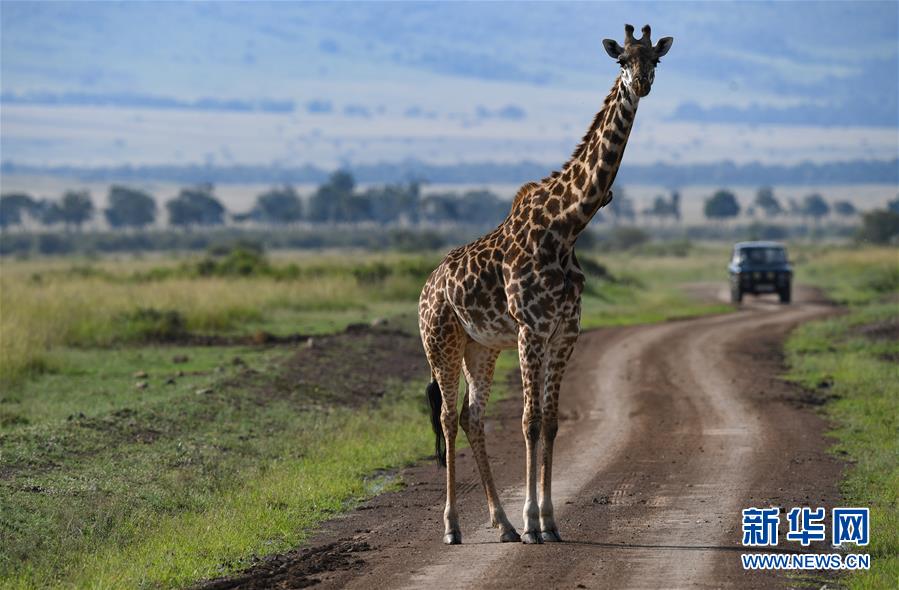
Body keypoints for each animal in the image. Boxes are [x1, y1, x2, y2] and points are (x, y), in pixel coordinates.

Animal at [418, 25, 672, 548]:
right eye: (622, 60)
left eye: (654, 59)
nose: (641, 84)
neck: (567, 227)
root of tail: (425, 289)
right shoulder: (531, 331)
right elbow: (530, 421)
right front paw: (535, 522)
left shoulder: (564, 333)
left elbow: (552, 423)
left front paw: (549, 522)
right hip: (441, 343)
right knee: (449, 419)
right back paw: (453, 526)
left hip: (480, 348)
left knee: (472, 418)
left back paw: (502, 524)